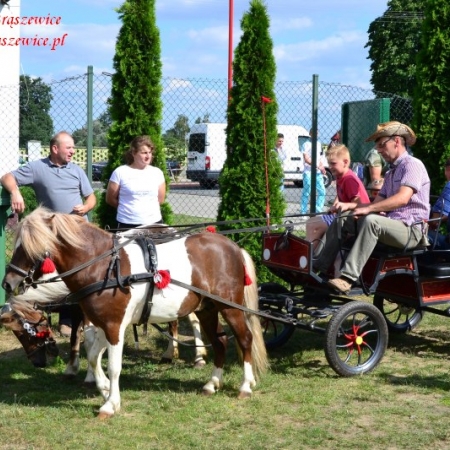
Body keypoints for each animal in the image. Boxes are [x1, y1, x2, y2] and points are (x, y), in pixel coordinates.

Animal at [2, 207, 268, 418]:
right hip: (207, 309)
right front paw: (103, 387)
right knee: (220, 341)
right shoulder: (103, 324)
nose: (8, 283)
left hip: (230, 307)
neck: (103, 266)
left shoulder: (113, 326)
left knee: (245, 339)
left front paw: (110, 404)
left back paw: (245, 386)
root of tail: (233, 247)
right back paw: (212, 383)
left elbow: (113, 365)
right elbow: (93, 355)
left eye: (30, 247)